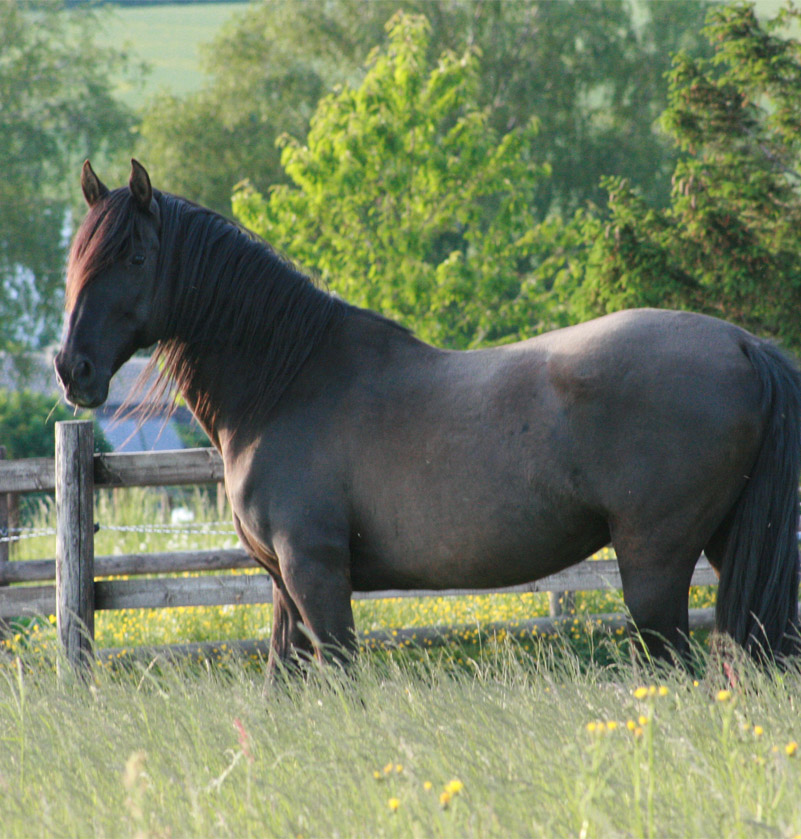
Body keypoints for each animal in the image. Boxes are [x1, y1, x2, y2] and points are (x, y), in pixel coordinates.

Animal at [56, 159, 801, 673]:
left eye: (136, 255)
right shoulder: (283, 590)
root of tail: (743, 344)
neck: (285, 382)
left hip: (654, 565)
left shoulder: (315, 575)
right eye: (76, 258)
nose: (73, 369)